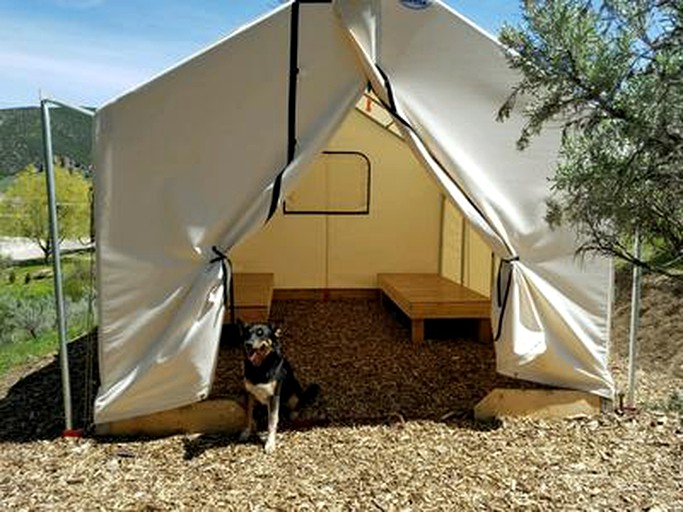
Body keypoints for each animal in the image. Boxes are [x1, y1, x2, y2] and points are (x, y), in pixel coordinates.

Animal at [238, 320, 318, 452]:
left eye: (260, 333)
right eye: (246, 334)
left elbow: (272, 421)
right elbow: (248, 416)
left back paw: (292, 414)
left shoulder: (274, 396)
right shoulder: (248, 394)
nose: (247, 344)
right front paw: (246, 432)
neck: (260, 367)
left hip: (293, 394)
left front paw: (270, 443)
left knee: (298, 404)